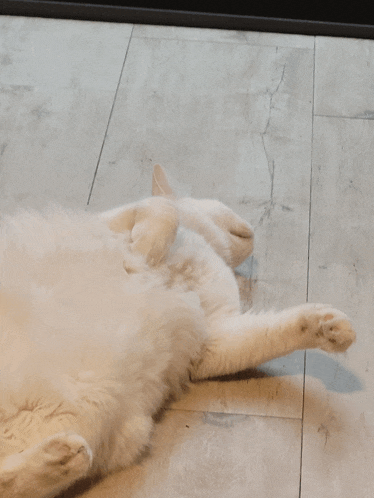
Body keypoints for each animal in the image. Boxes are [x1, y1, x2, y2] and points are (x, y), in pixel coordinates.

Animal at [0, 165, 356, 496]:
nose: (253, 232)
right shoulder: (114, 221)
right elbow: (163, 211)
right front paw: (144, 252)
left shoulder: (214, 337)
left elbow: (274, 332)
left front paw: (330, 327)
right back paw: (60, 458)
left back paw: (60, 459)